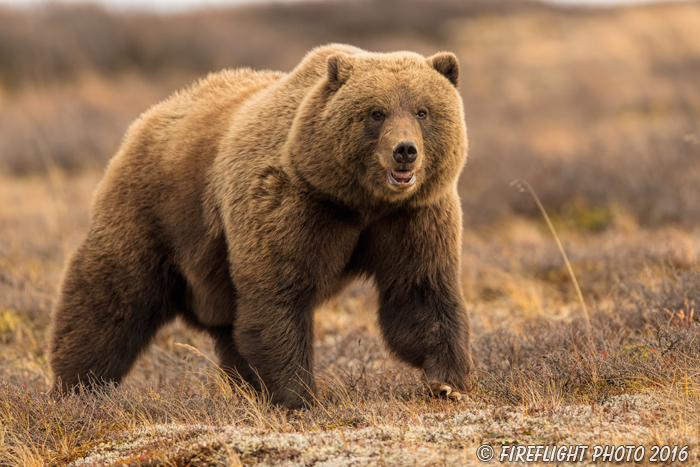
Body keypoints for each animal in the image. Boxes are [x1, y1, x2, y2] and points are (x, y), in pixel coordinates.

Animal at [49, 44, 474, 410]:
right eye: (376, 112)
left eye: (422, 111)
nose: (405, 151)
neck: (359, 200)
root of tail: (147, 118)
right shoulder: (291, 203)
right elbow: (278, 296)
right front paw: (298, 395)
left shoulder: (413, 215)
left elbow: (420, 292)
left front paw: (448, 382)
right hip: (156, 212)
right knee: (109, 300)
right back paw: (76, 389)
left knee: (229, 331)